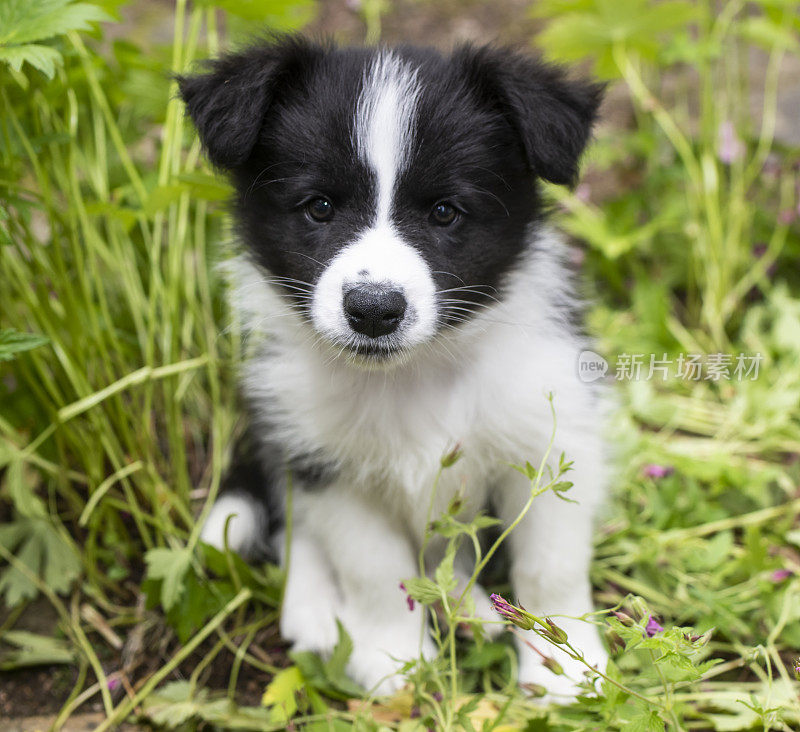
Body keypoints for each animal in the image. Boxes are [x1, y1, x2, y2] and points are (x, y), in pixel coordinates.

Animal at [180, 37, 608, 700]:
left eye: (445, 212)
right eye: (319, 207)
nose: (373, 310)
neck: (414, 374)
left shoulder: (548, 440)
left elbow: (551, 564)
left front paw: (563, 667)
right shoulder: (328, 464)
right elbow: (376, 570)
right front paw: (392, 662)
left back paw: (468, 608)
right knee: (297, 528)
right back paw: (316, 610)